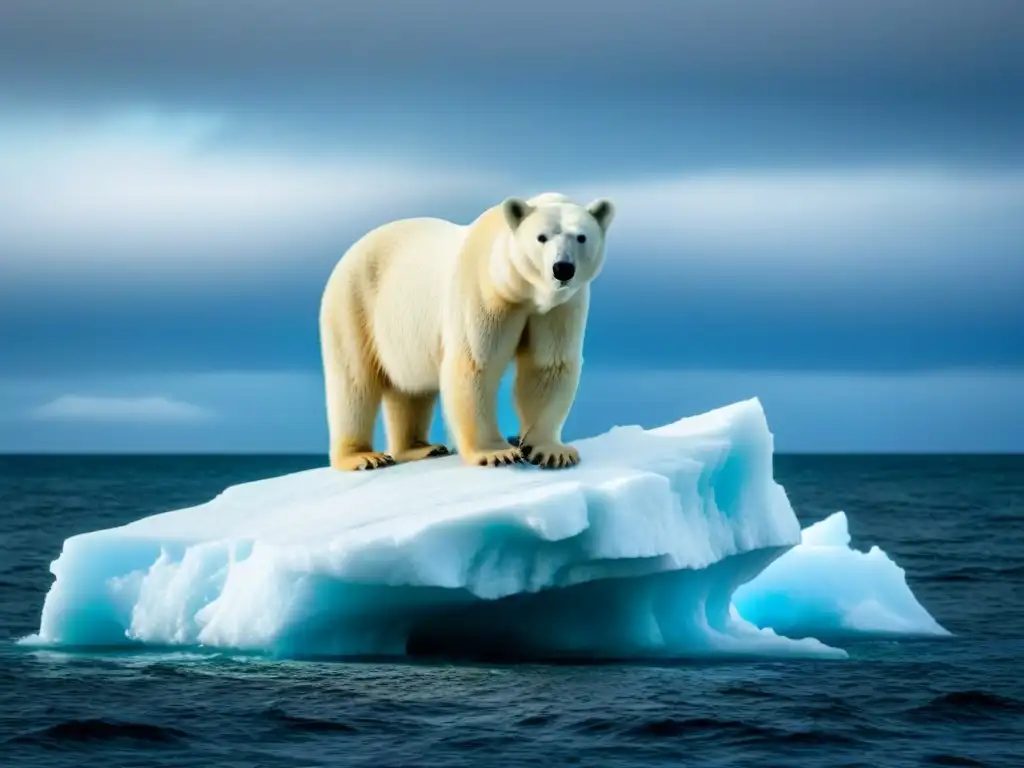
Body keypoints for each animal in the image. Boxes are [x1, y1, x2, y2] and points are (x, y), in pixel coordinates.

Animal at [318, 191, 615, 471]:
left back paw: (421, 448)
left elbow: (547, 366)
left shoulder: (559, 309)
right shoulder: (483, 293)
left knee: (411, 389)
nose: (562, 268)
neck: (521, 291)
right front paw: (497, 453)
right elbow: (475, 364)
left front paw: (552, 451)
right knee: (354, 382)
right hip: (355, 304)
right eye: (541, 237)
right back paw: (363, 457)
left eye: (581, 237)